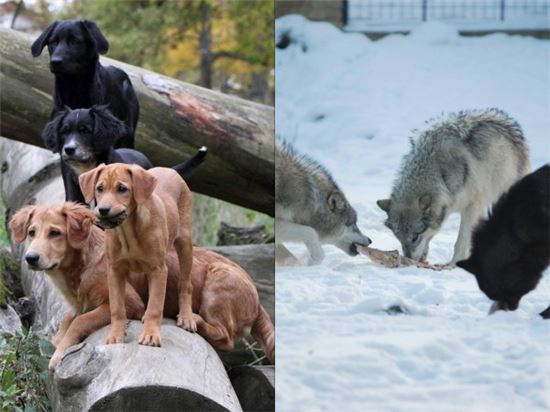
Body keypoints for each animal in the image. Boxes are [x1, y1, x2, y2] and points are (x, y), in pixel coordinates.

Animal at [8, 202, 276, 366]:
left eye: (55, 233)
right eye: (31, 232)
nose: (31, 258)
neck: (81, 267)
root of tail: (258, 301)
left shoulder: (130, 303)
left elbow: (80, 321)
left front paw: (59, 354)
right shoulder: (79, 303)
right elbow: (67, 319)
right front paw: (57, 341)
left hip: (218, 280)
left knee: (226, 338)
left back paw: (194, 319)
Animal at [79, 163, 196, 346]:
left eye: (122, 189)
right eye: (99, 188)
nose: (103, 210)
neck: (128, 232)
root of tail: (170, 169)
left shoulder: (159, 270)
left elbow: (155, 306)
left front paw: (150, 335)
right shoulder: (115, 270)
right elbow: (117, 308)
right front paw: (115, 335)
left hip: (184, 242)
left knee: (185, 284)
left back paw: (186, 317)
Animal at [380, 108, 532, 266]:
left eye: (415, 236)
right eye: (398, 238)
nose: (408, 260)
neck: (439, 174)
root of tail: (508, 124)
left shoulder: (471, 208)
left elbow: (461, 242)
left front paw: (453, 265)